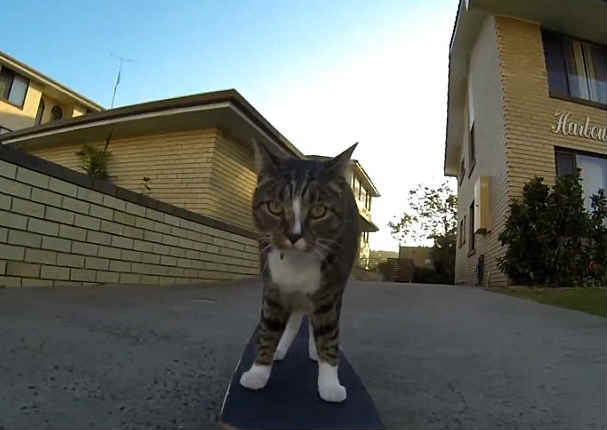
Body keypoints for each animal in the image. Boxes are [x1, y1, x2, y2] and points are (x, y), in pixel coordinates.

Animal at [239, 139, 360, 404]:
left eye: (318, 211)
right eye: (274, 206)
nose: (294, 236)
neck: (296, 261)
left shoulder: (329, 291)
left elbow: (328, 333)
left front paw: (330, 384)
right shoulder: (274, 286)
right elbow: (269, 328)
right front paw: (258, 372)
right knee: (293, 319)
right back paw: (281, 348)